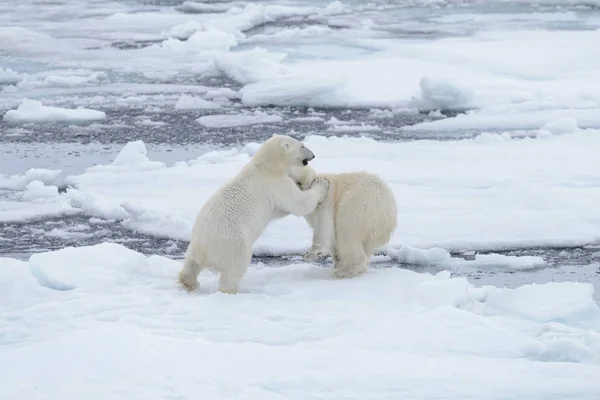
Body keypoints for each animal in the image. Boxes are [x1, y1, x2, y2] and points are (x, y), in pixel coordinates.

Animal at [178, 134, 330, 294]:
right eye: (302, 146)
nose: (313, 155)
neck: (266, 167)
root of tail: (203, 252)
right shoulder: (277, 185)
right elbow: (298, 203)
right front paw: (321, 184)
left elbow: (279, 211)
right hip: (233, 243)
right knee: (235, 267)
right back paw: (231, 290)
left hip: (194, 246)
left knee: (190, 264)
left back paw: (188, 282)